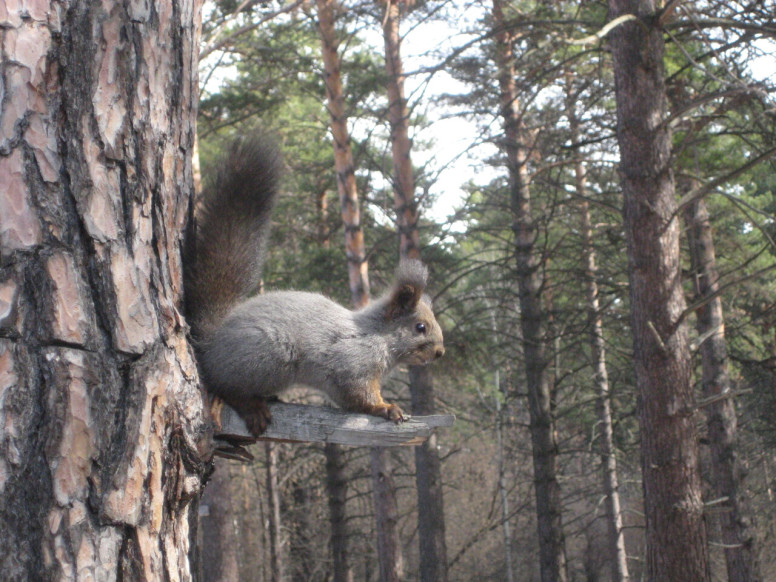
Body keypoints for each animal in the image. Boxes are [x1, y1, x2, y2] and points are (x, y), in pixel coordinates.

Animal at [184, 138, 446, 438]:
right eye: (420, 327)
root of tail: (212, 343)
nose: (440, 353)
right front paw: (386, 407)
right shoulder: (352, 363)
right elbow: (359, 395)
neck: (378, 334)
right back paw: (252, 406)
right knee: (225, 385)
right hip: (267, 356)